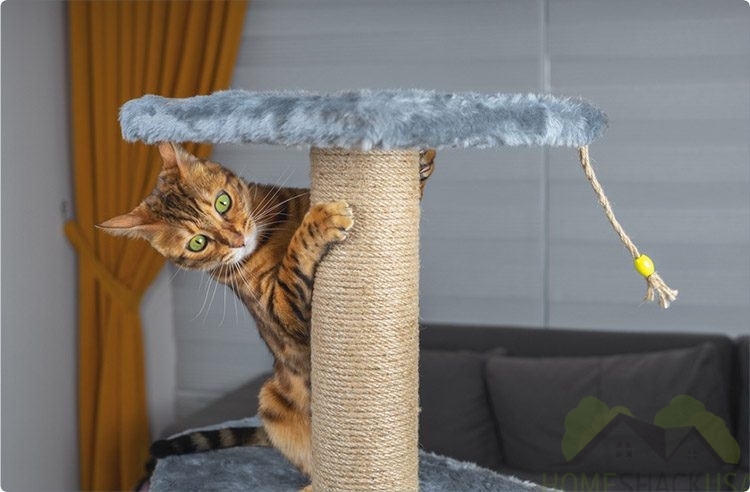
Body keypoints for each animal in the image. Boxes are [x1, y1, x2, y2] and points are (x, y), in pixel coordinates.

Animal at [97, 141, 438, 484]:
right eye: (198, 243)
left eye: (223, 202)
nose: (238, 240)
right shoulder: (281, 314)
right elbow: (293, 261)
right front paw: (320, 221)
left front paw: (421, 158)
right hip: (271, 400)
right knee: (309, 464)